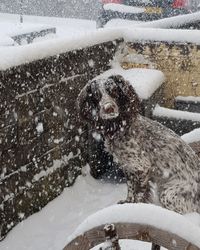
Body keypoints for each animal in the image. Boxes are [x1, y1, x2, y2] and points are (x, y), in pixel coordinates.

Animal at [77, 74, 200, 213]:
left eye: (114, 91)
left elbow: (139, 194)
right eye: (96, 95)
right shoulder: (128, 167)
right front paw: (128, 203)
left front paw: (137, 208)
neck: (121, 128)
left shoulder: (142, 167)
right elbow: (130, 188)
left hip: (167, 193)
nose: (109, 108)